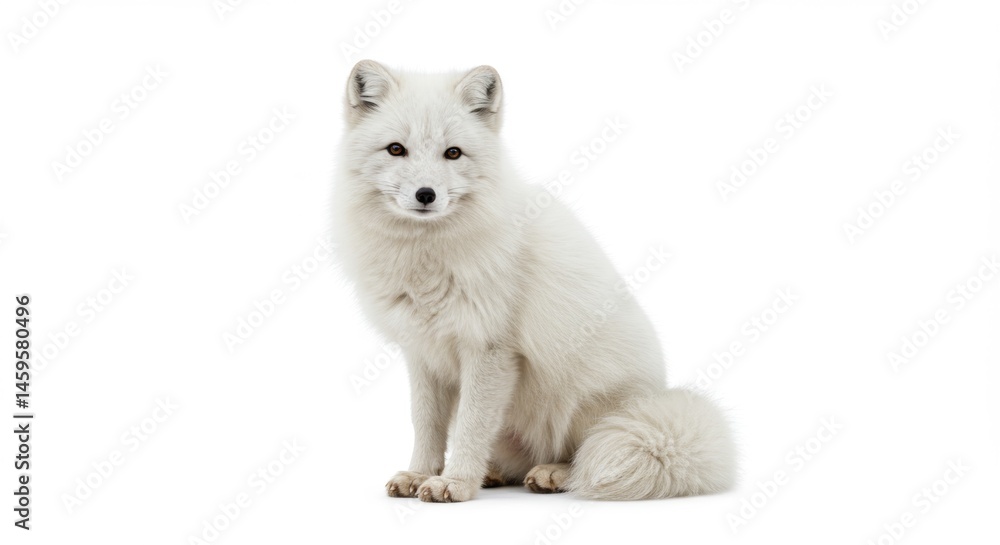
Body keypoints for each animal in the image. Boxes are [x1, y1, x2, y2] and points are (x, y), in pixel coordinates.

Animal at [334, 60, 737, 502]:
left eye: (452, 153)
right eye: (395, 149)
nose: (426, 194)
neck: (426, 262)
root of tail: (656, 395)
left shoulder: (490, 349)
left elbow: (472, 425)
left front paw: (455, 483)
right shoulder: (423, 353)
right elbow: (426, 425)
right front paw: (420, 473)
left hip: (580, 397)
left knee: (581, 452)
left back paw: (553, 474)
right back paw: (494, 472)